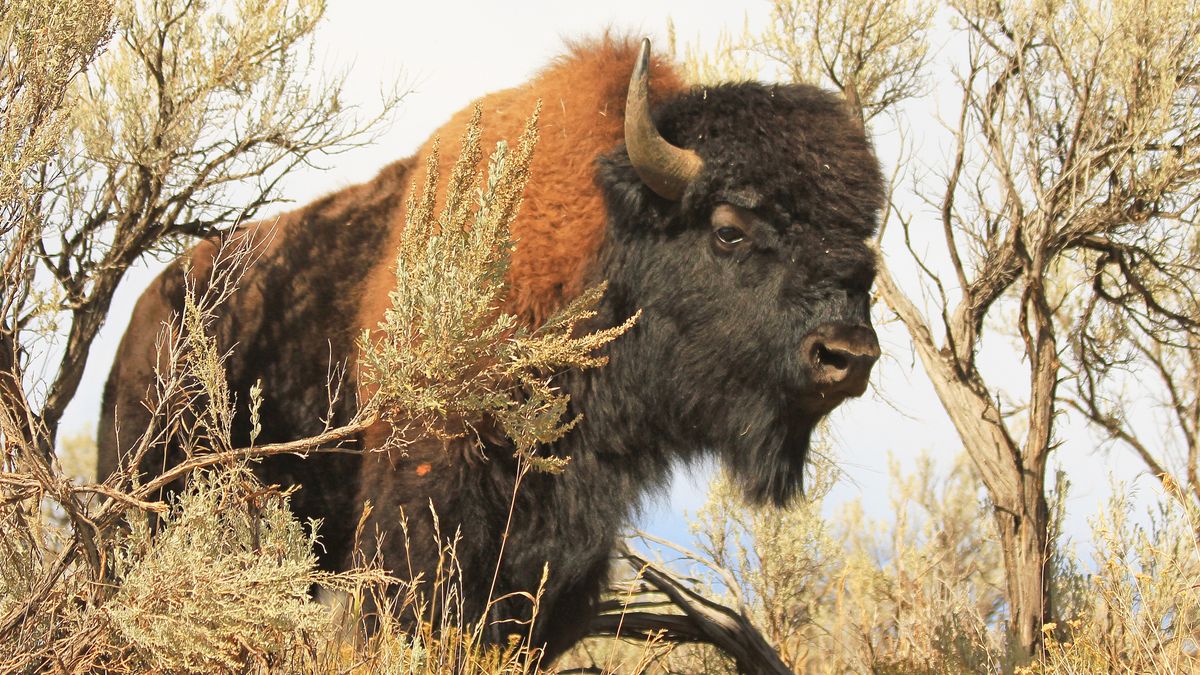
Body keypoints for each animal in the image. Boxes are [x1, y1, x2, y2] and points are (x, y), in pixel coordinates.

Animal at [98, 38, 888, 658]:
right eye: (728, 229)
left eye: (865, 246)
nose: (848, 353)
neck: (601, 244)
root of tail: (144, 315)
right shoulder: (424, 513)